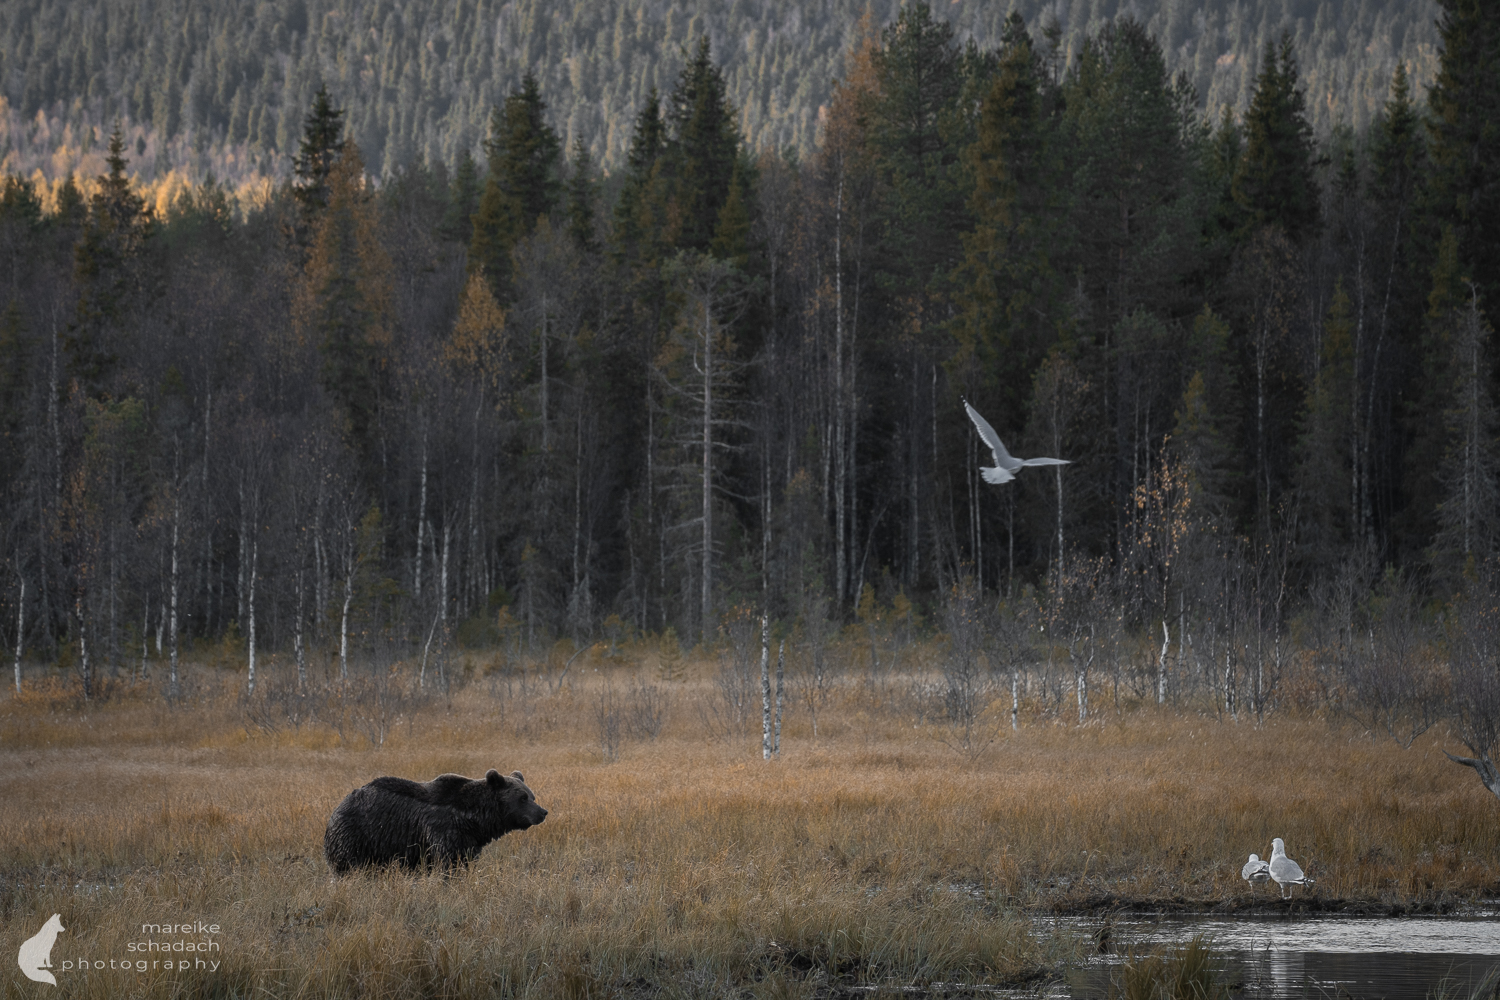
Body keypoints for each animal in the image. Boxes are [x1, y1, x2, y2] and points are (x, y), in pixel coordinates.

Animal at [324, 768, 547, 873]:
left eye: (532, 796)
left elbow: (465, 861)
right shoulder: (443, 831)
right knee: (348, 867)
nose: (542, 812)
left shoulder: (468, 842)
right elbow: (448, 862)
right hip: (356, 836)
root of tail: (335, 810)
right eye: (522, 798)